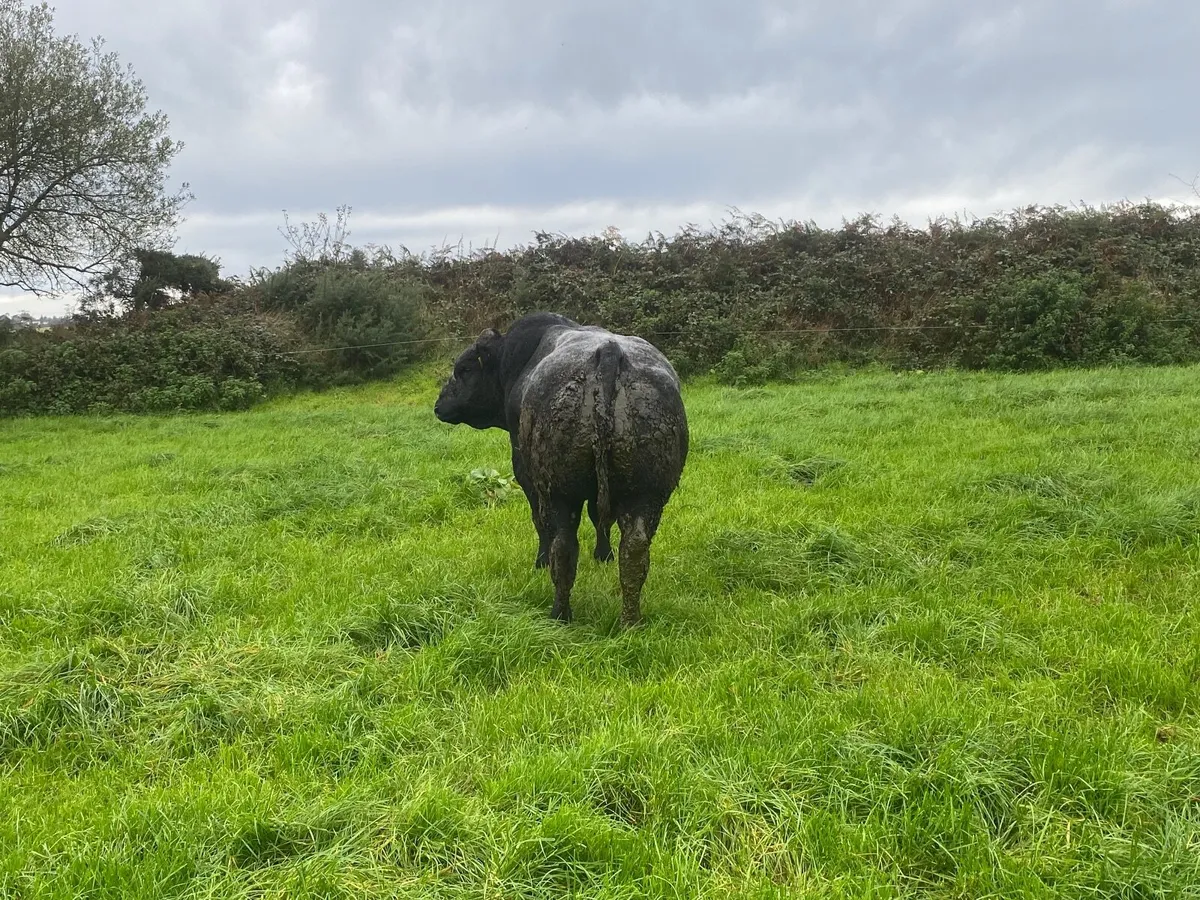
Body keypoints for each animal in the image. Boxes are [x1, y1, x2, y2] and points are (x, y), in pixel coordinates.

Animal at [433, 312, 689, 627]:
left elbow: (539, 521)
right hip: (647, 493)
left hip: (559, 490)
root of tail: (609, 352)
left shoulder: (526, 473)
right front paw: (603, 555)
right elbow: (599, 518)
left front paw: (540, 562)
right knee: (635, 551)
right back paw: (631, 622)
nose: (438, 405)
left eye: (464, 369)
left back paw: (560, 614)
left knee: (563, 546)